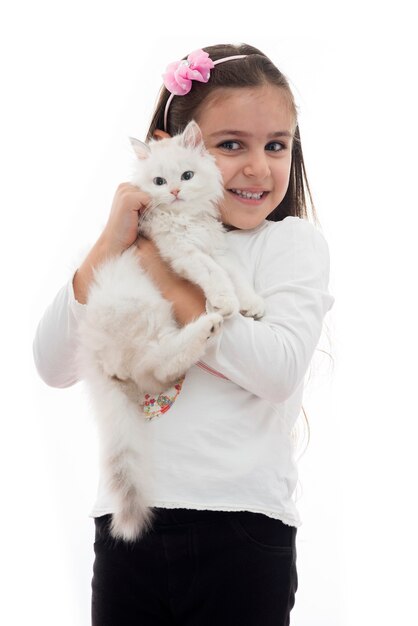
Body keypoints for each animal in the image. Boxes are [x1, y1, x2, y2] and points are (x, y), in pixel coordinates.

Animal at [78, 119, 264, 540]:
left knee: (157, 371)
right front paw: (226, 303)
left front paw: (251, 304)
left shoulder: (217, 248)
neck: (187, 221)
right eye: (160, 181)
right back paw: (210, 323)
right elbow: (215, 277)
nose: (175, 192)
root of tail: (94, 357)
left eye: (187, 176)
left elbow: (237, 276)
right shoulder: (185, 253)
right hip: (146, 312)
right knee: (156, 364)